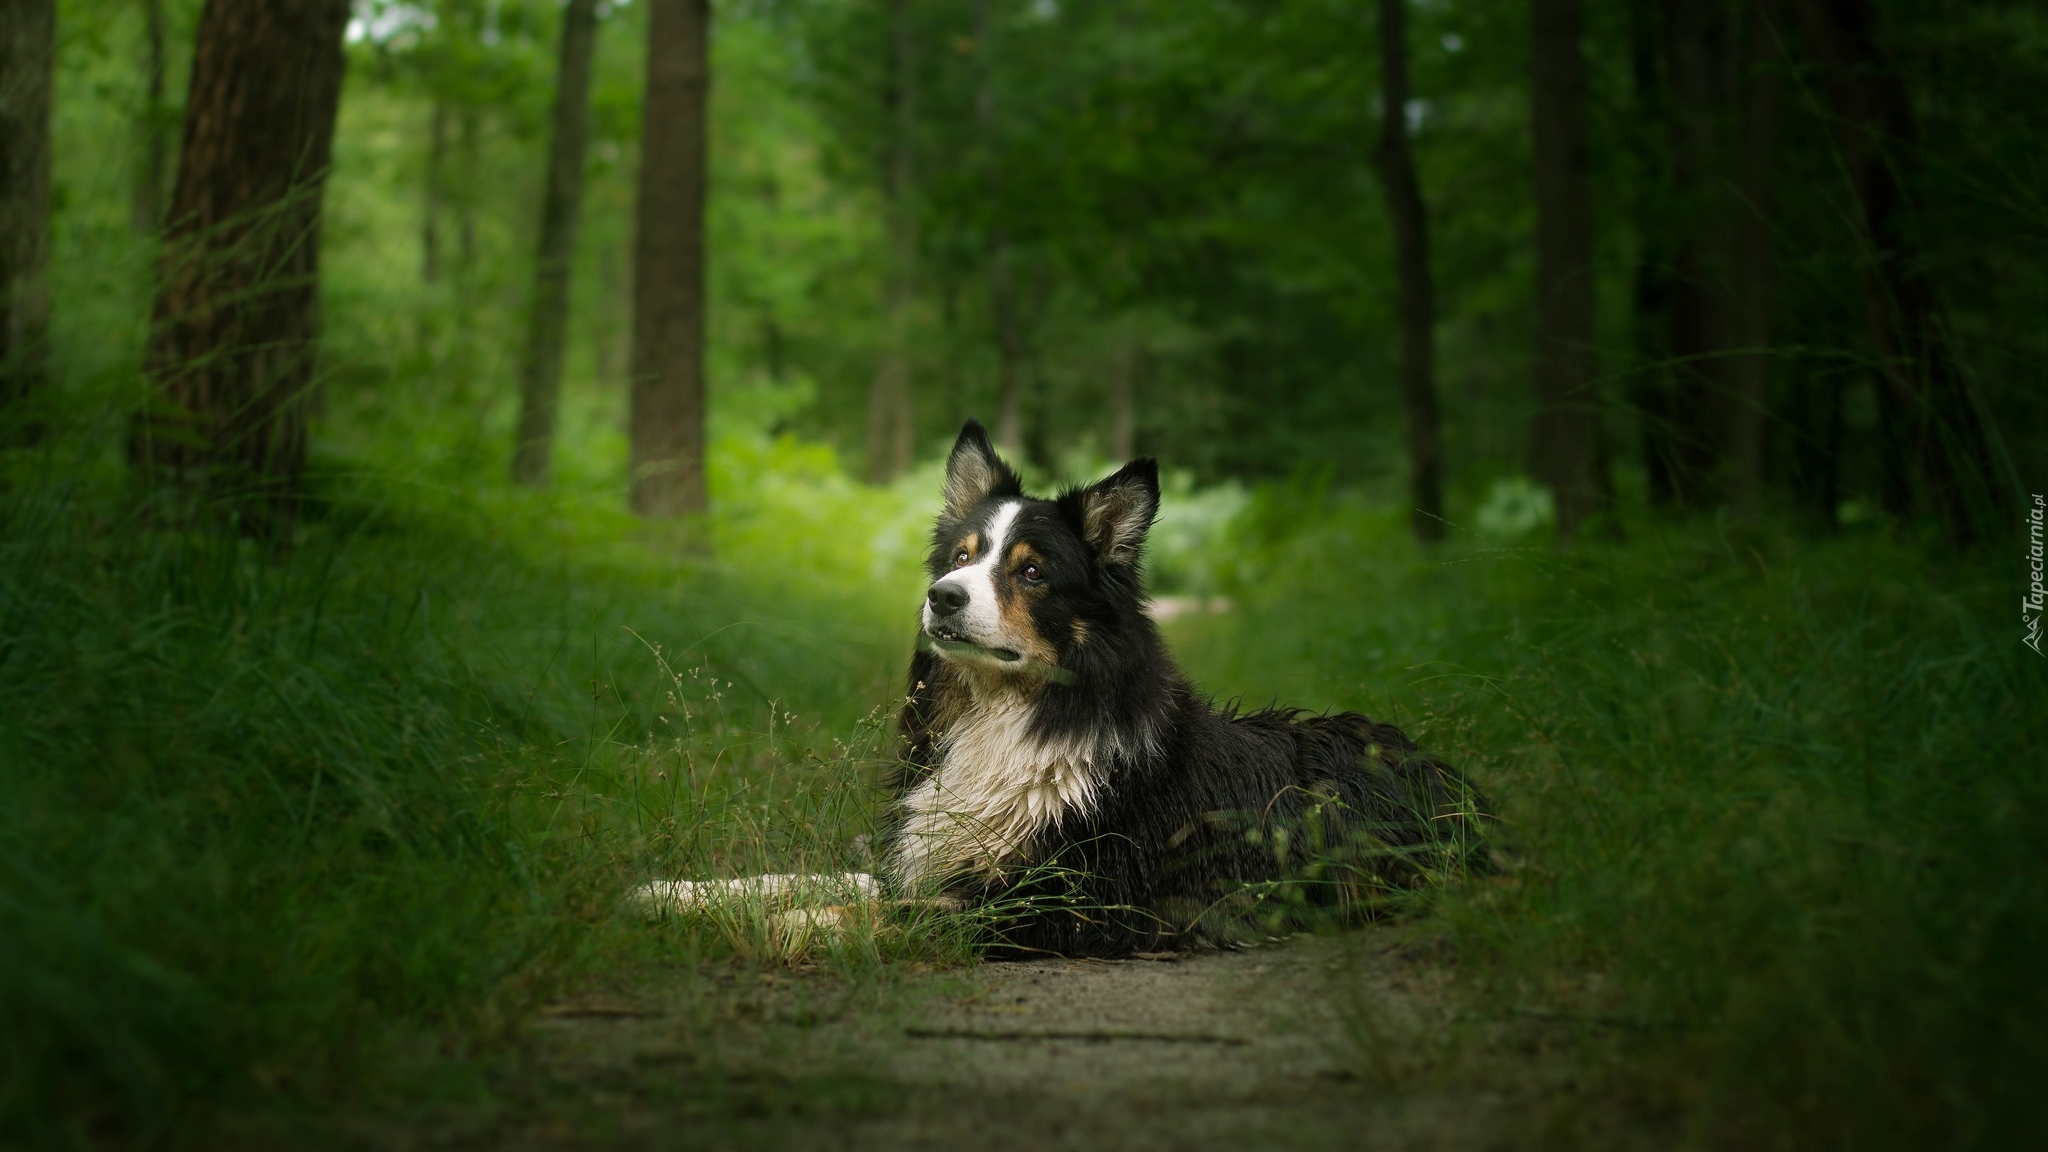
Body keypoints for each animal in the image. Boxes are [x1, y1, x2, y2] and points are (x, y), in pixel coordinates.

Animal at [630, 420, 1482, 951]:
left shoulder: (1058, 902)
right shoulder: (936, 857)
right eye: (961, 557)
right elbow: (823, 878)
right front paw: (673, 894)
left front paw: (757, 932)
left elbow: (868, 911)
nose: (941, 596)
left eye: (1032, 572)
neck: (1010, 717)